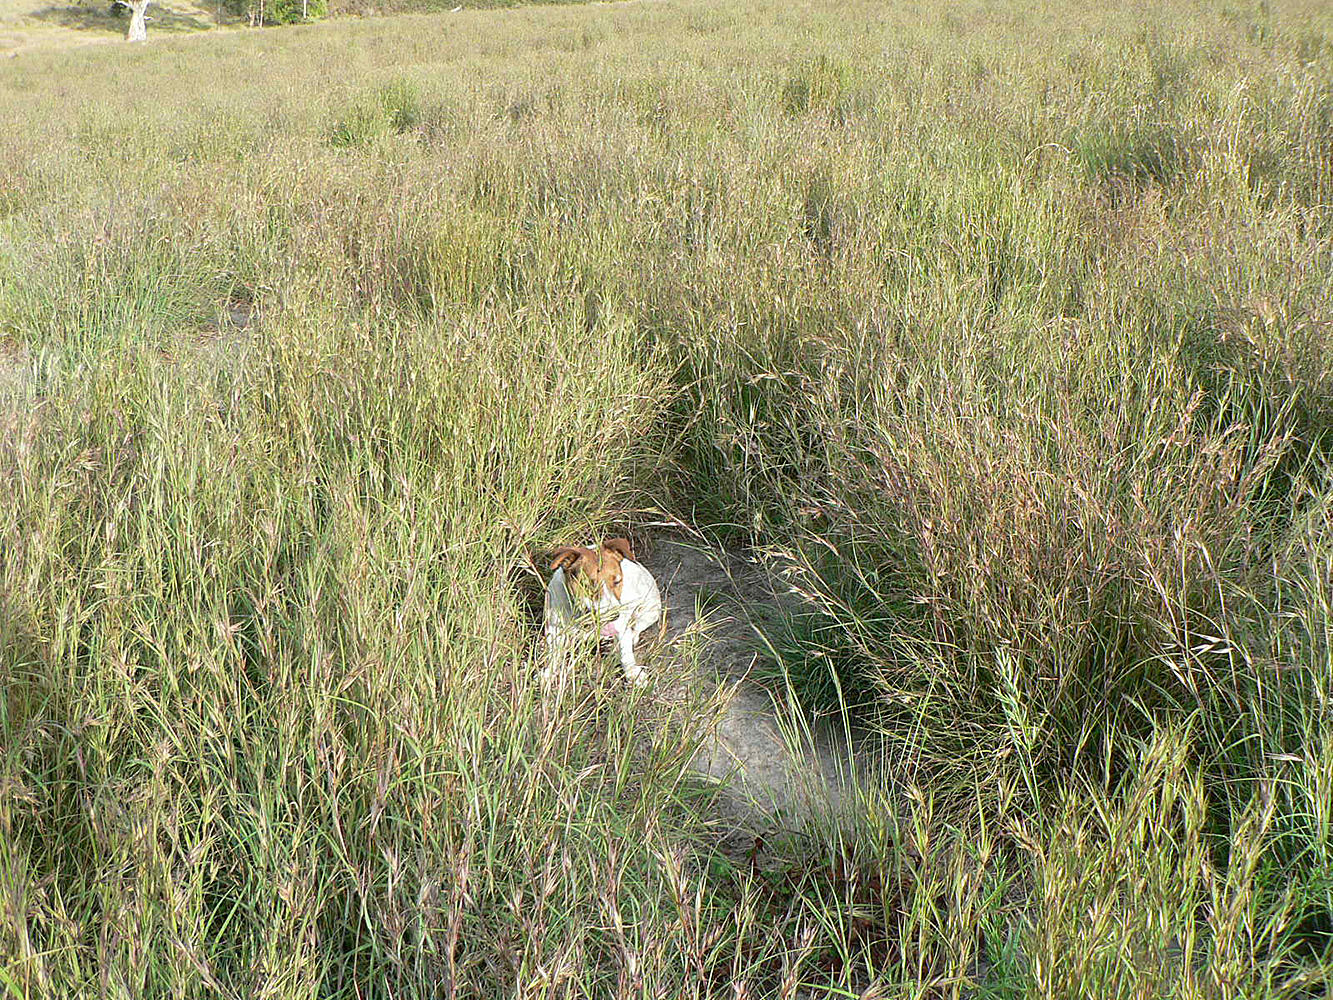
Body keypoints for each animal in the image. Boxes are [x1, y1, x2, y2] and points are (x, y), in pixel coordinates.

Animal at [541, 541, 661, 688]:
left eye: (617, 581)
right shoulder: (554, 628)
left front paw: (633, 672)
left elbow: (626, 652)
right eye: (590, 585)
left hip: (649, 611)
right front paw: (548, 673)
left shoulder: (621, 625)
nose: (614, 616)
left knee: (636, 629)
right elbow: (554, 653)